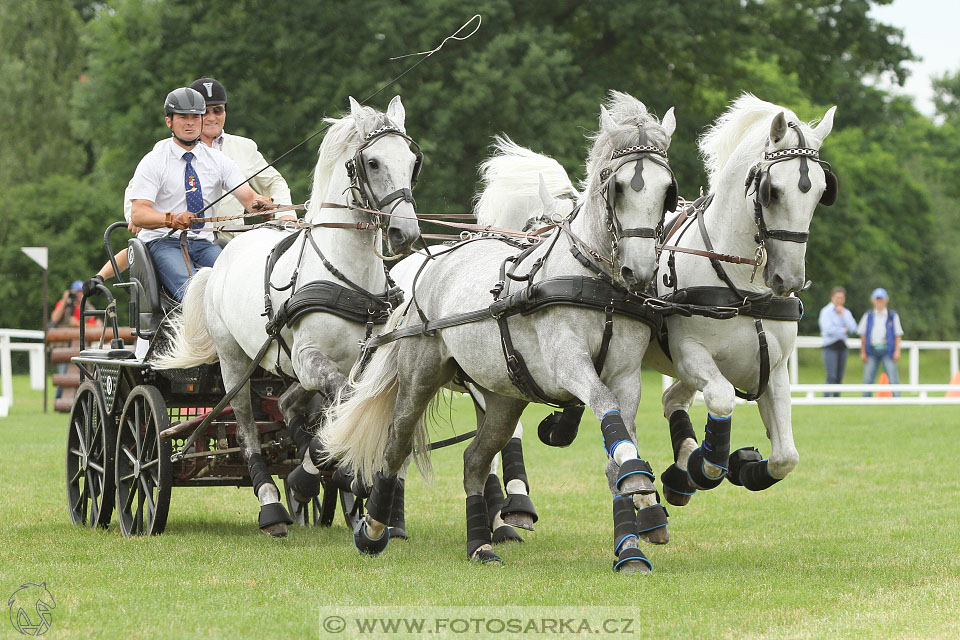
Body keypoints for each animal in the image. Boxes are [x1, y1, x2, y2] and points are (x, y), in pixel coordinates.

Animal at [154, 95, 420, 536]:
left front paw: (328, 470)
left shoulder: (363, 360)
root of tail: (221, 260)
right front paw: (309, 476)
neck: (347, 277)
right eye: (373, 162)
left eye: (413, 161)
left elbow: (341, 404)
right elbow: (342, 399)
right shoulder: (309, 356)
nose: (407, 234)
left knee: (285, 403)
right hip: (234, 362)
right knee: (246, 427)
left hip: (284, 366)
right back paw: (271, 505)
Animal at [644, 95, 840, 504]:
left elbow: (785, 458)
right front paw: (705, 465)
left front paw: (742, 466)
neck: (744, 292)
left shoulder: (774, 371)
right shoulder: (689, 354)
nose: (788, 279)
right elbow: (721, 400)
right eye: (772, 190)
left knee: (673, 400)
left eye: (820, 192)